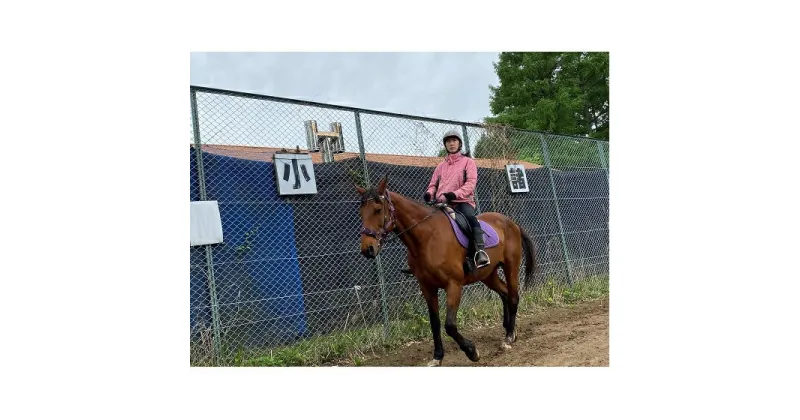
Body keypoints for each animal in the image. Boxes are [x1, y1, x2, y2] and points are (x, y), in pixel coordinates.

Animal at [356, 176, 536, 366]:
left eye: (377, 210)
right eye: (361, 212)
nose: (367, 249)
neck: (427, 238)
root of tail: (511, 222)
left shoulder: (453, 285)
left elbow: (449, 325)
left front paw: (471, 351)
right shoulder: (427, 288)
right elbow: (435, 323)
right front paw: (437, 357)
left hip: (511, 266)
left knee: (514, 296)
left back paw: (509, 337)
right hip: (488, 274)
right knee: (505, 293)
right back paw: (510, 331)